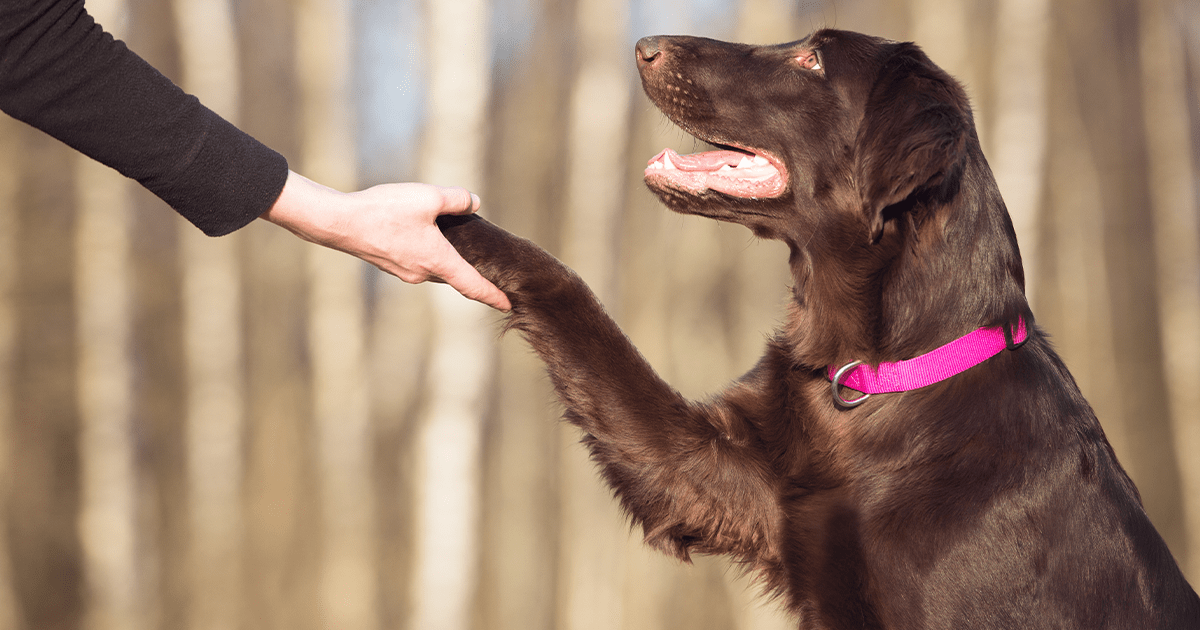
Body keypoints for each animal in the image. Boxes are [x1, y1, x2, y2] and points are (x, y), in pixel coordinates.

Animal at [439, 29, 1200, 628]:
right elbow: (572, 297)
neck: (878, 375)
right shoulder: (708, 473)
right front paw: (450, 222)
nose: (644, 46)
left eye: (811, 60)